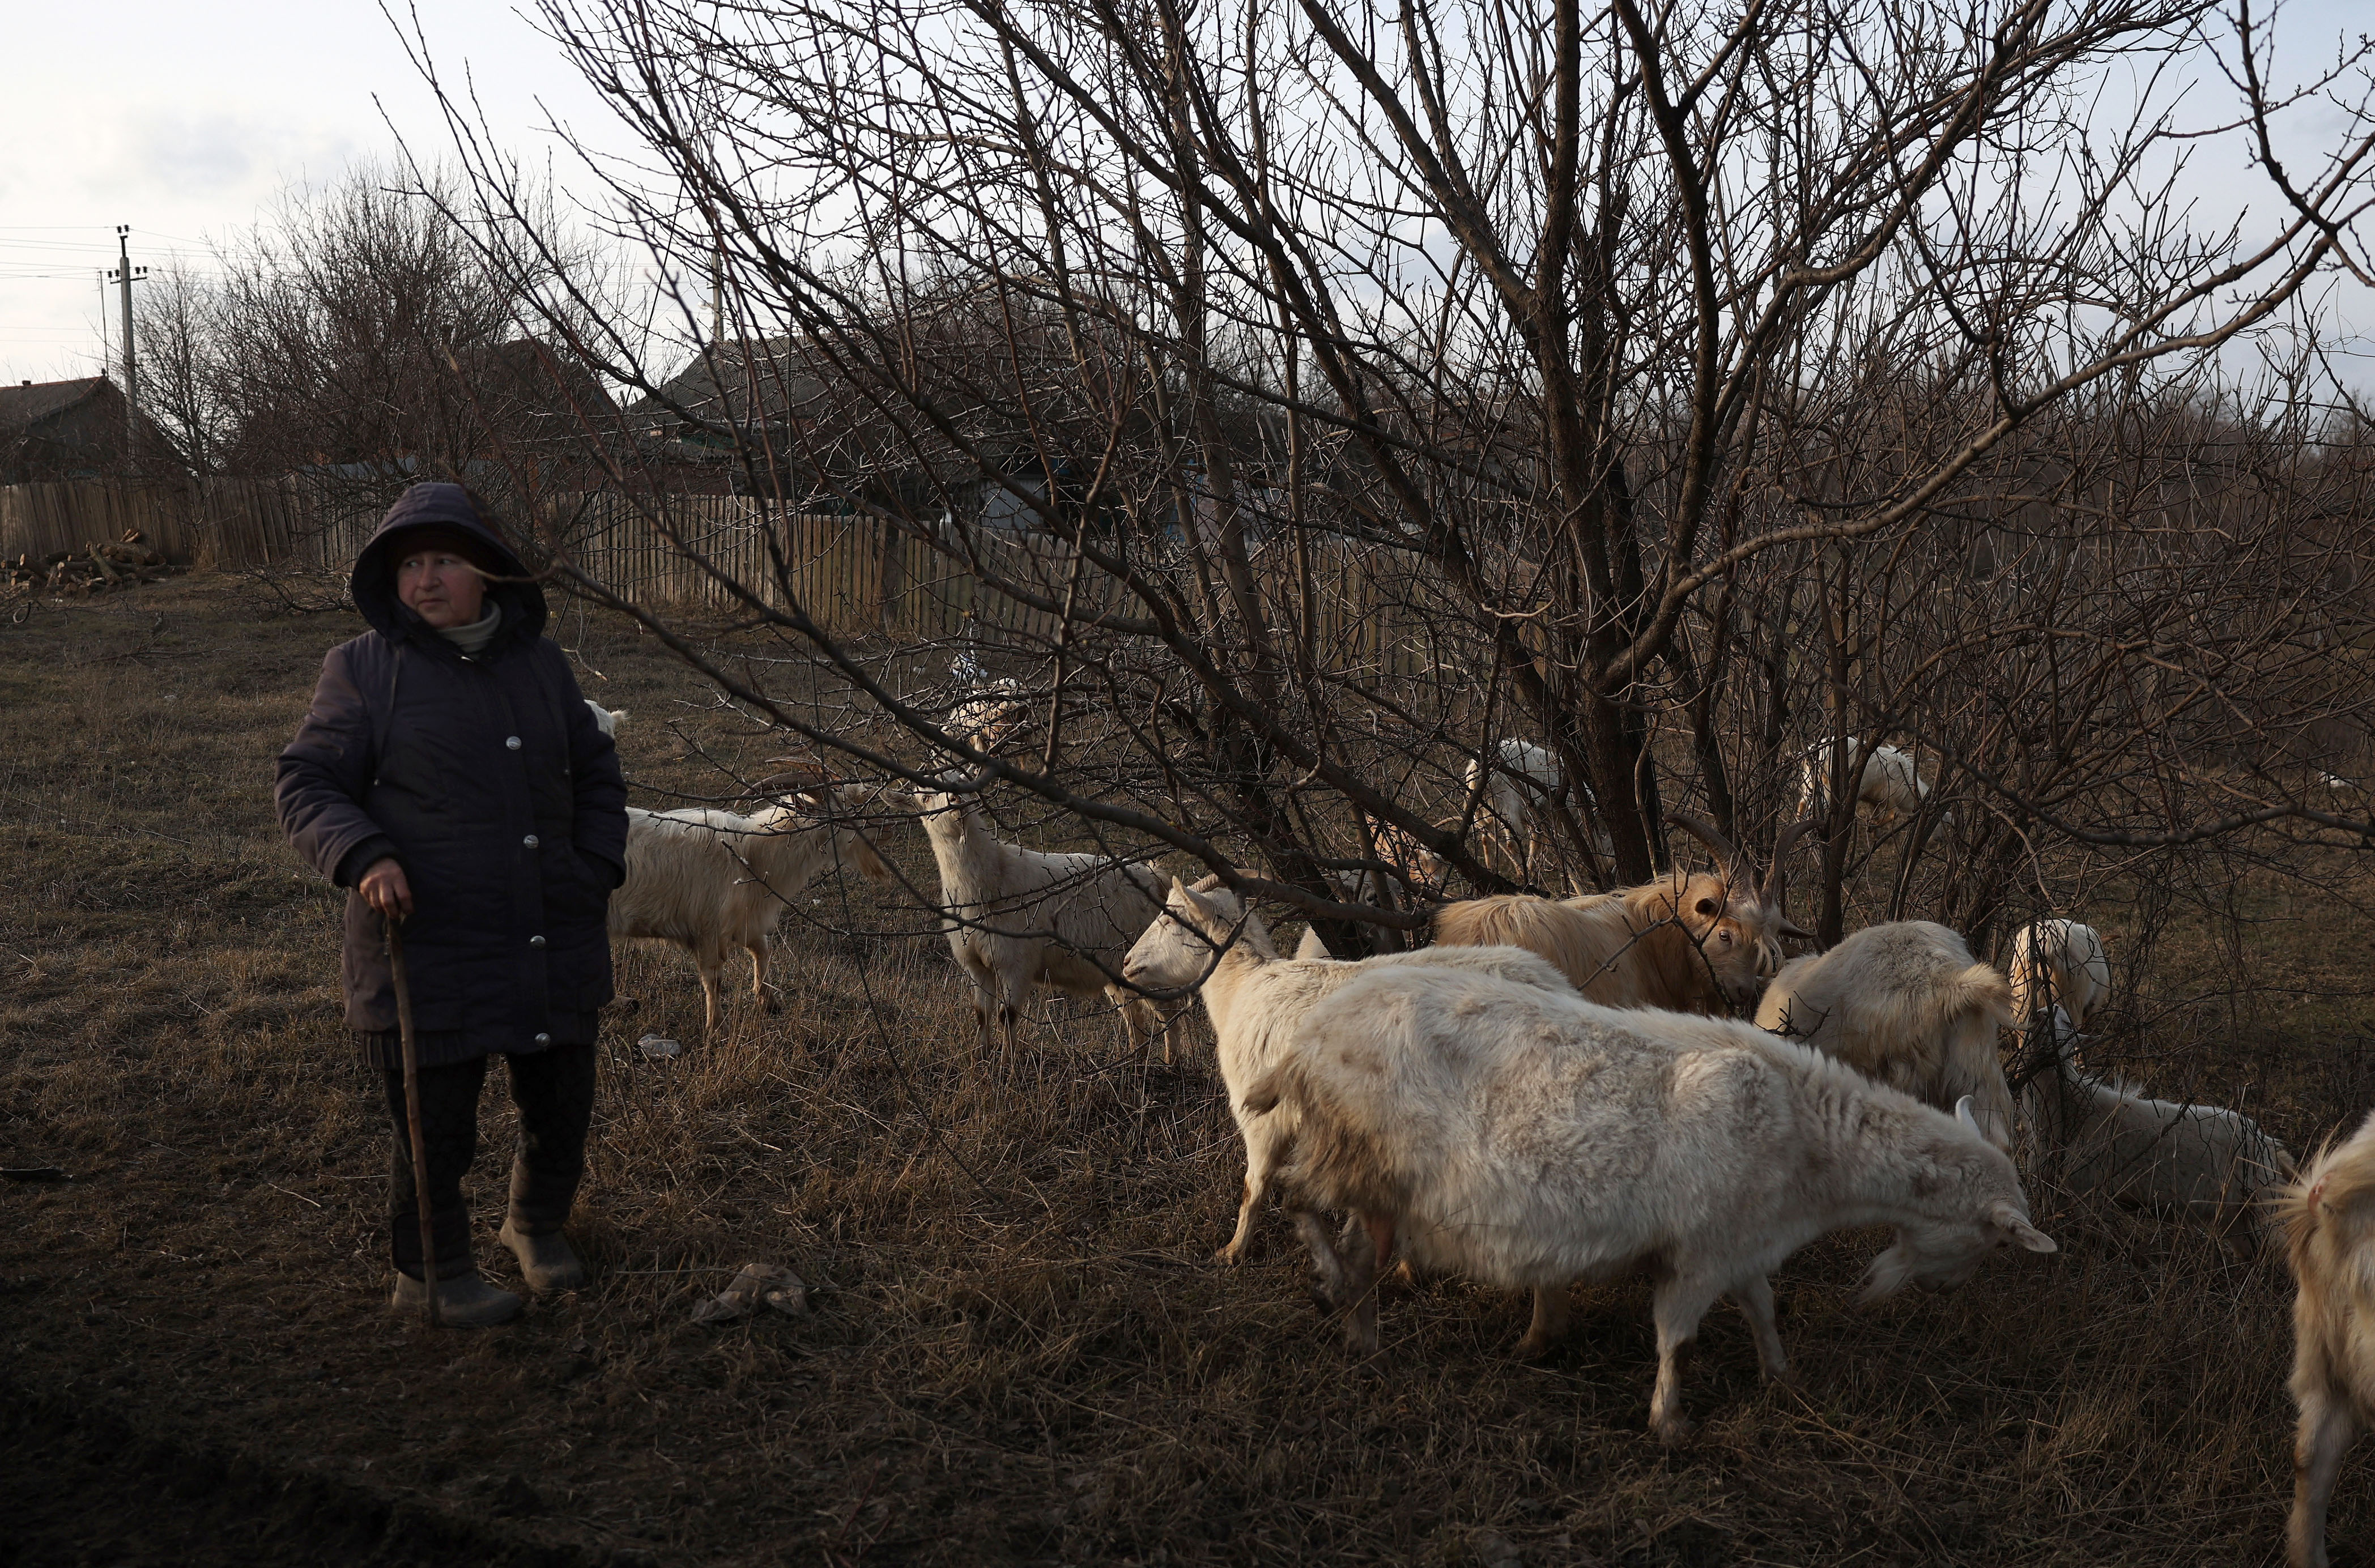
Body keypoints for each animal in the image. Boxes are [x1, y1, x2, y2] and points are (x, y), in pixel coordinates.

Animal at [609, 786, 891, 1032]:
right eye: (841, 813)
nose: (883, 829)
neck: (752, 855)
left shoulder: (745, 921)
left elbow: (762, 950)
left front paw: (769, 1002)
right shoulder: (708, 929)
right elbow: (713, 979)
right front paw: (717, 1025)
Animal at [915, 789, 1168, 1056]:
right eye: (924, 799)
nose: (955, 801)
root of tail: (1155, 878)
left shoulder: (1017, 963)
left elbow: (1007, 1016)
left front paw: (1008, 1062)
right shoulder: (976, 963)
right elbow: (982, 1014)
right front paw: (981, 1057)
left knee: (1169, 1017)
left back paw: (1172, 1060)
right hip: (1119, 969)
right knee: (1134, 1014)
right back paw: (1134, 1058)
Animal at [1121, 876, 1570, 1263]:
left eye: (1169, 918)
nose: (1125, 963)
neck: (1241, 988)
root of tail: (1555, 984)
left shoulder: (1262, 1116)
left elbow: (1255, 1185)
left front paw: (1233, 1251)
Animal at [1246, 965, 2053, 1441]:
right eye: (1993, 1243)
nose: (1941, 1290)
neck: (1804, 1139)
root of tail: (1306, 1041)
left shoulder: (1740, 1239)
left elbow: (1762, 1307)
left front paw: (1779, 1373)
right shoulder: (1696, 1252)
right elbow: (1676, 1338)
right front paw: (1669, 1422)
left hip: (1372, 1182)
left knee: (1355, 1244)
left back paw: (1362, 1335)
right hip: (1356, 1154)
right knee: (1295, 1198)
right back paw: (1335, 1295)